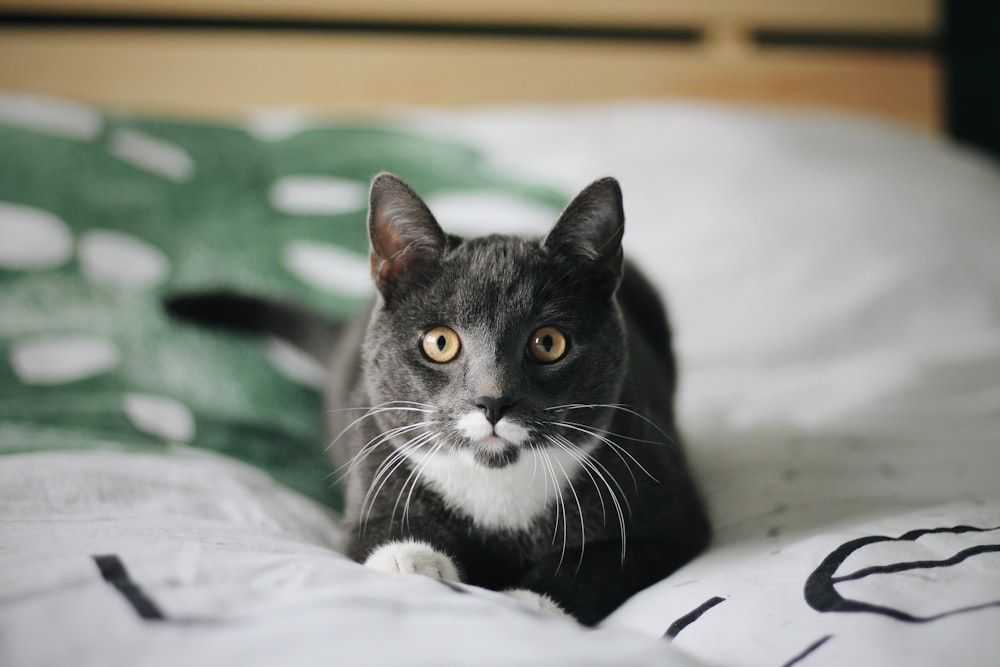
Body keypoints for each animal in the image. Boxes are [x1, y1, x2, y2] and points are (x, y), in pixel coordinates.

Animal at [166, 172, 712, 628]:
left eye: (549, 342)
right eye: (441, 342)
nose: (493, 401)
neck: (497, 485)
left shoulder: (664, 504)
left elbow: (608, 560)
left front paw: (529, 604)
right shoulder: (375, 450)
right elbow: (376, 529)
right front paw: (412, 562)